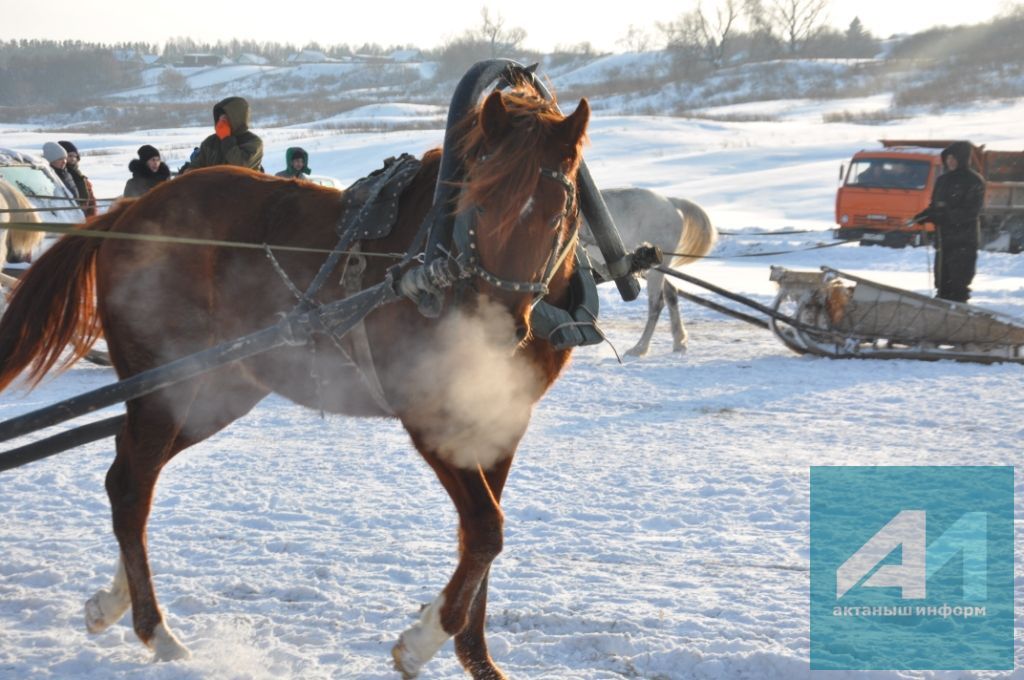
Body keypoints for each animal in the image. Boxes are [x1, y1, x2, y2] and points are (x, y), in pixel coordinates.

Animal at [0, 85, 589, 680]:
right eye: (480, 202)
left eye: (559, 212)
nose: (495, 331)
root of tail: (129, 214)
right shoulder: (430, 417)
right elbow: (486, 529)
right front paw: (420, 641)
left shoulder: (500, 420)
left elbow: (479, 536)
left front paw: (476, 657)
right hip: (165, 386)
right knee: (129, 485)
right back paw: (158, 633)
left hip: (213, 392)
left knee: (135, 472)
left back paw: (113, 600)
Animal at [581, 186, 716, 356]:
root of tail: (670, 201)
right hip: (655, 269)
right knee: (671, 293)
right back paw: (679, 341)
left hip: (654, 269)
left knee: (656, 303)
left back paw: (640, 347)